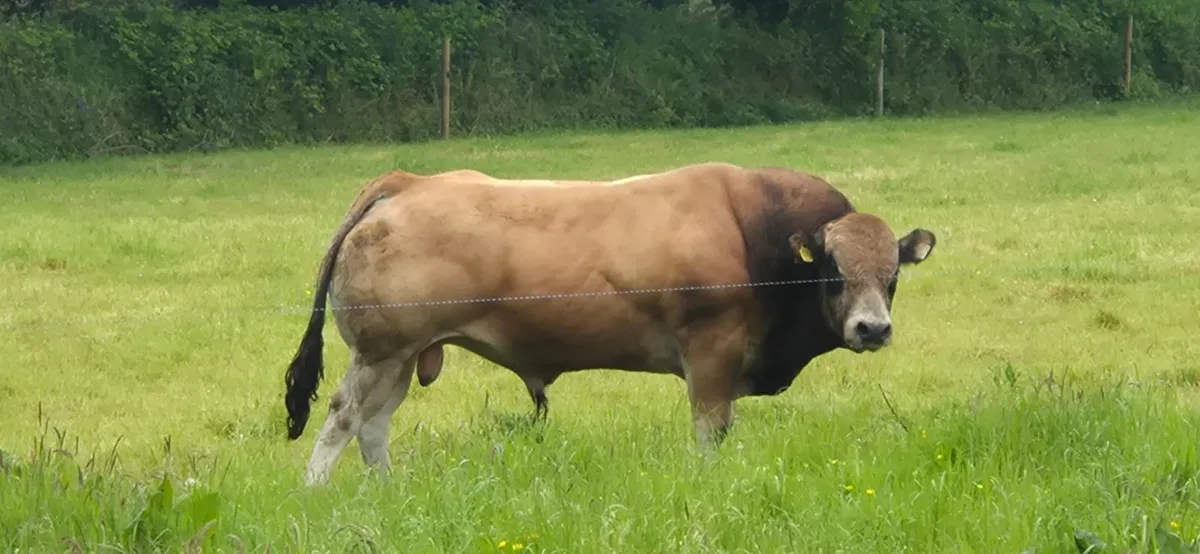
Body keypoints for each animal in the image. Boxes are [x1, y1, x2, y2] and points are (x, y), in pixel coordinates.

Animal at [282, 162, 936, 486]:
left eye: (891, 275)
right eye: (835, 270)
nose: (872, 329)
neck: (756, 231)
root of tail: (408, 185)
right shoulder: (711, 354)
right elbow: (710, 432)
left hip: (400, 358)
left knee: (373, 427)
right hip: (381, 354)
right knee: (343, 419)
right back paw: (314, 491)